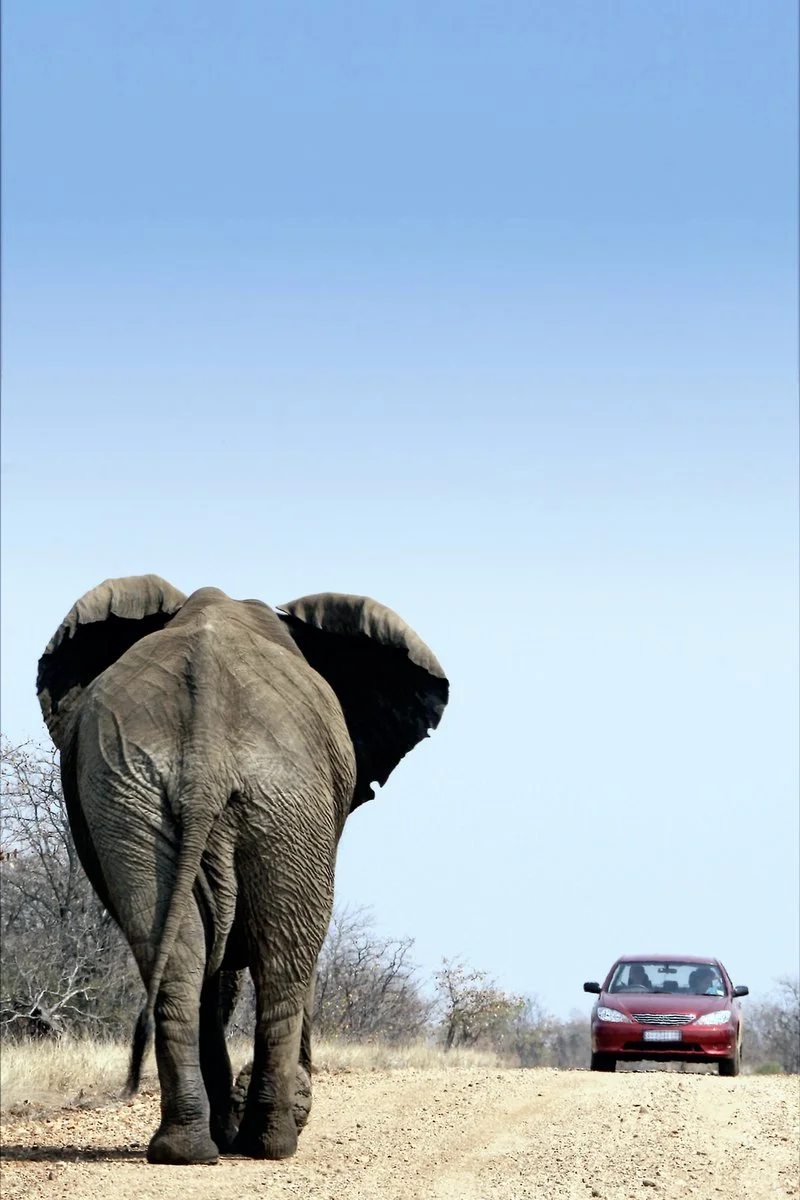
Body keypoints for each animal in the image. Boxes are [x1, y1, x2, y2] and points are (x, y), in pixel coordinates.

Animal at [36, 575, 448, 1165]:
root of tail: (205, 754)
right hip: (287, 800)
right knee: (286, 960)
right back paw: (271, 1142)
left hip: (136, 794)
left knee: (181, 956)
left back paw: (186, 1149)